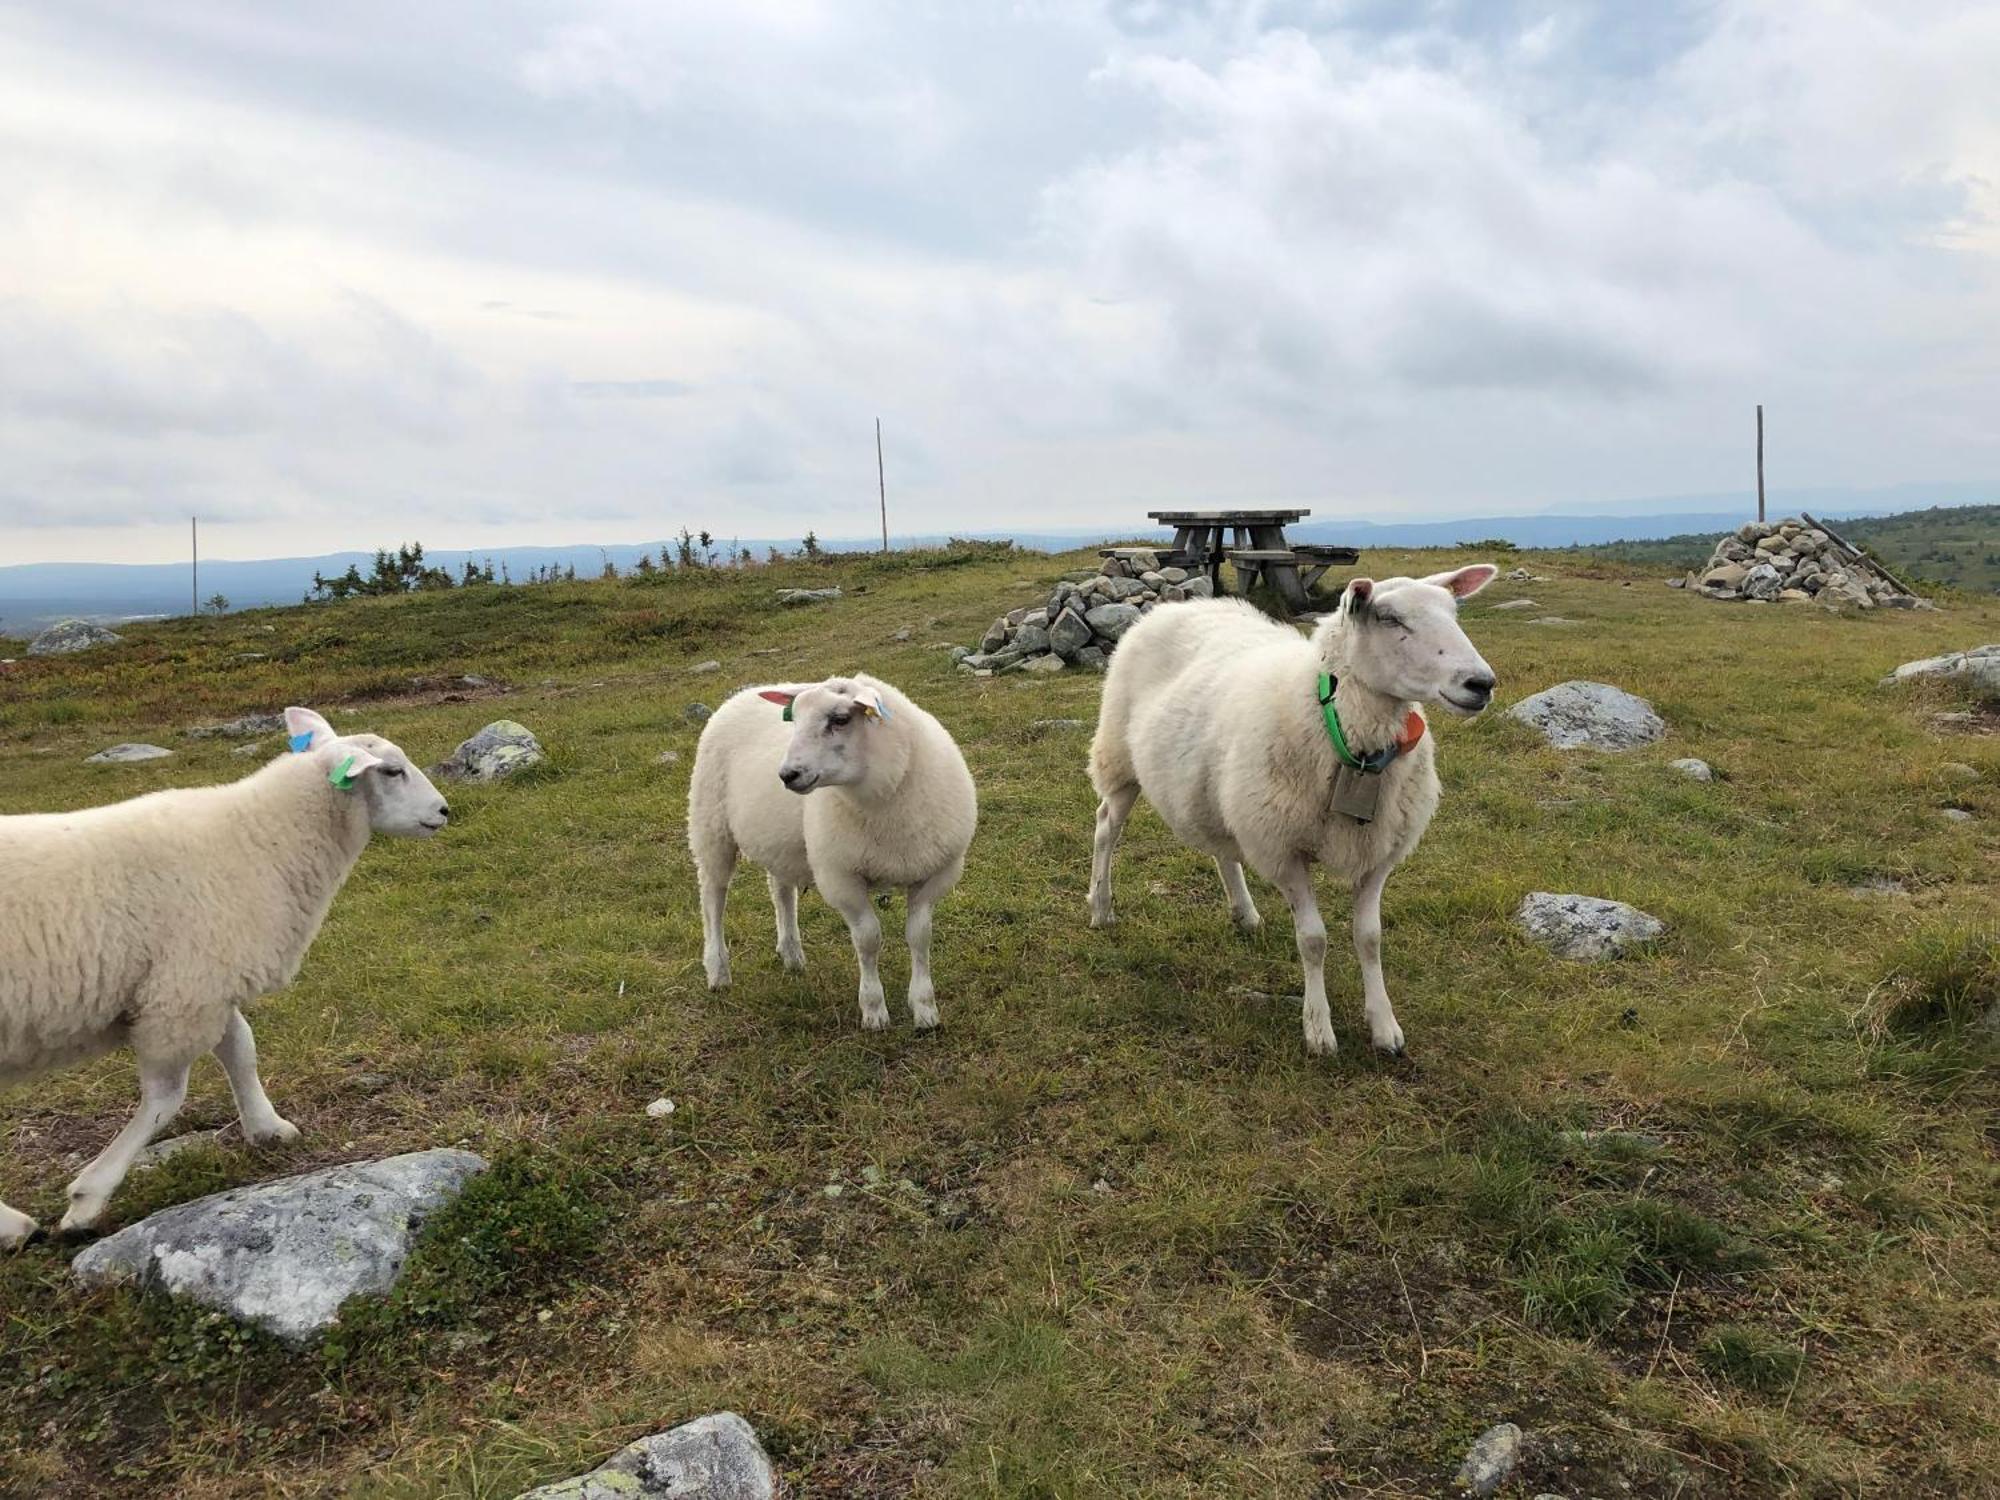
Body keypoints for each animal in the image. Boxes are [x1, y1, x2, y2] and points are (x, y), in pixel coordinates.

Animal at [2, 712, 450, 1248]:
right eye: (391, 771)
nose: (444, 811)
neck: (260, 839)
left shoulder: (210, 980)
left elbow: (242, 1048)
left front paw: (268, 1127)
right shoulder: (184, 990)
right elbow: (167, 1096)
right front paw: (88, 1198)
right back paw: (15, 1226)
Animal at [692, 672, 980, 1032]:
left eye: (840, 719)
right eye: (795, 718)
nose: (787, 774)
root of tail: (743, 692)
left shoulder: (935, 874)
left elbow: (920, 936)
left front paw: (925, 1009)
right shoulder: (841, 878)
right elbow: (868, 939)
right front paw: (874, 1011)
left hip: (781, 842)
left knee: (780, 890)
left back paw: (792, 955)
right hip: (710, 825)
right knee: (713, 898)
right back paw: (718, 971)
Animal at [1088, 572, 1496, 1056]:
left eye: (1454, 613)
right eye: (1389, 618)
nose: (1482, 683)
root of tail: (1175, 605)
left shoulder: (1378, 852)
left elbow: (1370, 939)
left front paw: (1383, 1025)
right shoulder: (1284, 851)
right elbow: (1313, 940)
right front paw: (1318, 1028)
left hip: (1219, 787)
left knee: (1221, 848)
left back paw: (1244, 913)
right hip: (1118, 756)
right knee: (1106, 828)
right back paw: (1101, 908)